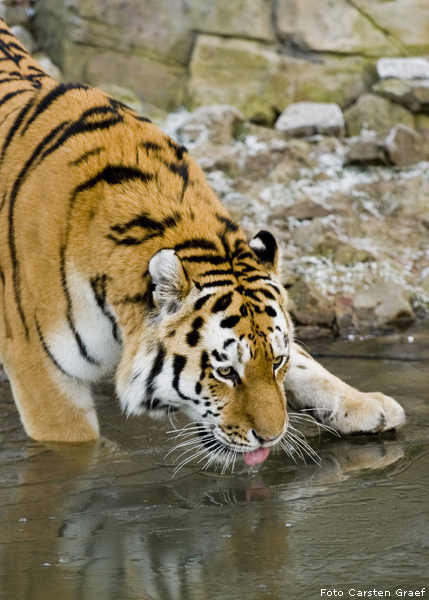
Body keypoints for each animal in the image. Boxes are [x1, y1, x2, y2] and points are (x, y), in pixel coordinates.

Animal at [0, 19, 404, 468]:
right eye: (224, 372)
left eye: (276, 361)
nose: (272, 437)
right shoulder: (41, 370)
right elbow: (76, 445)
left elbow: (309, 365)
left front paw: (369, 406)